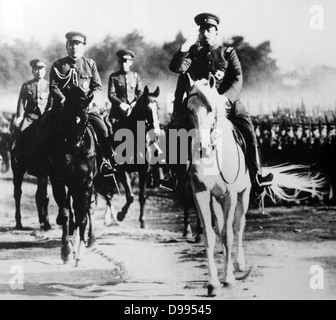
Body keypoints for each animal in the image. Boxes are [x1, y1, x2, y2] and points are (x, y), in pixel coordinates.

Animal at [111, 86, 161, 229]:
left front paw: (143, 221)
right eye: (148, 108)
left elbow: (142, 196)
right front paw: (121, 215)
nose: (156, 133)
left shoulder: (144, 171)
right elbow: (130, 196)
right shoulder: (122, 170)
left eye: (158, 107)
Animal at [186, 75, 326, 298]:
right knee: (221, 228)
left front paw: (229, 279)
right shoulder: (201, 193)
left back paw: (238, 264)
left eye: (210, 109)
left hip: (242, 196)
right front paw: (213, 283)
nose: (202, 147)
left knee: (237, 226)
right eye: (189, 109)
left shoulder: (231, 194)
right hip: (217, 199)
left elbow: (229, 234)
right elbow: (210, 235)